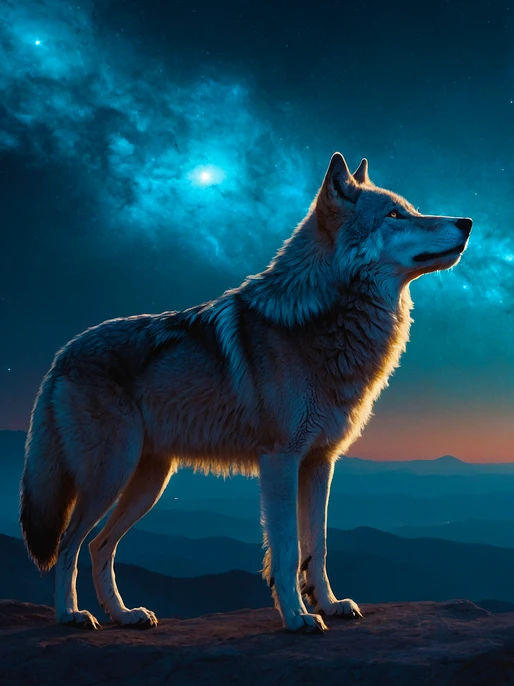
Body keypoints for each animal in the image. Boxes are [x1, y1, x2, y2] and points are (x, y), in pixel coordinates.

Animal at [20, 152, 472, 634]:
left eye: (411, 209)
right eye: (395, 215)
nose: (466, 221)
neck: (321, 323)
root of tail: (62, 354)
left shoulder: (320, 463)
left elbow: (318, 546)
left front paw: (328, 604)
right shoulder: (279, 460)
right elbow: (287, 550)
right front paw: (297, 617)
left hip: (149, 481)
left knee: (99, 545)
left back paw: (125, 615)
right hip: (110, 474)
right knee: (69, 544)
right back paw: (71, 614)